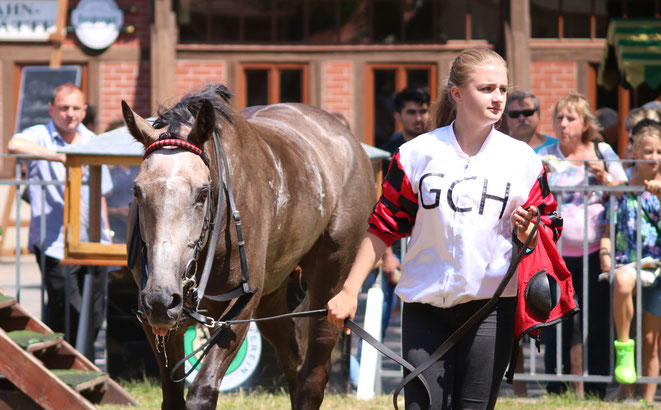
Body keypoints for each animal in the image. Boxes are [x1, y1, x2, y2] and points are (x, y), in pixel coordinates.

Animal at [120, 84, 374, 410]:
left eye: (203, 193)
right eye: (138, 190)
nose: (161, 298)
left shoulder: (241, 308)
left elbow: (202, 391)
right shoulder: (156, 318)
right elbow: (173, 397)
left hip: (331, 286)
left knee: (313, 375)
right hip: (273, 296)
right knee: (293, 362)